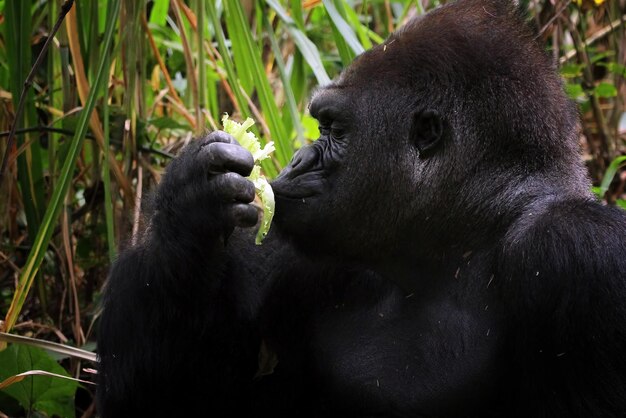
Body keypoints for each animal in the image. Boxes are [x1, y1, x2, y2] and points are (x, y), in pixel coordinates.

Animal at [95, 0, 624, 416]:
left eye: (333, 129)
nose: (297, 160)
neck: (464, 239)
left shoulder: (580, 252)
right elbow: (172, 397)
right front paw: (190, 207)